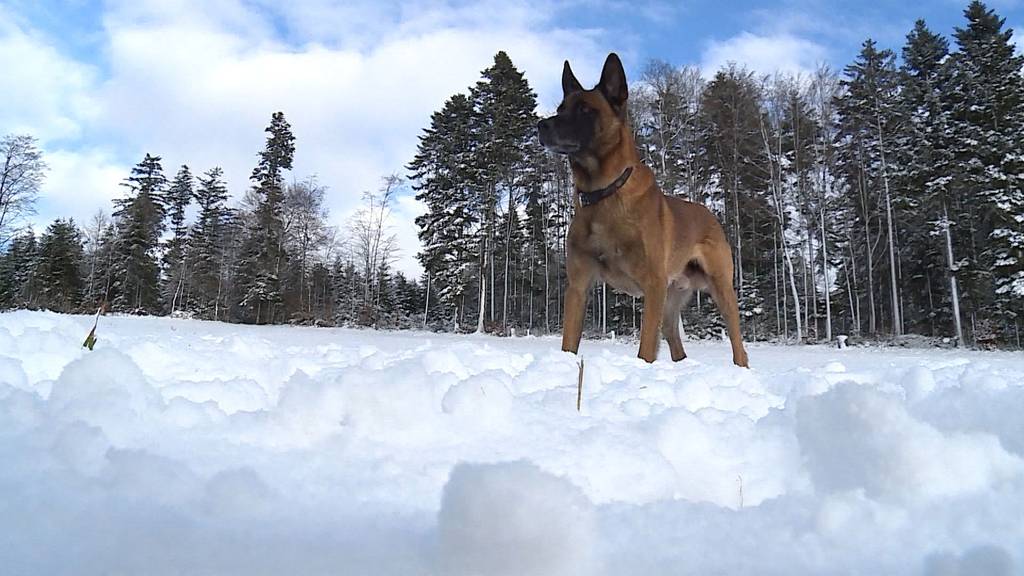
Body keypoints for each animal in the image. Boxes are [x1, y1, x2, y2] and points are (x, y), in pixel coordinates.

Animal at [540, 51, 749, 364]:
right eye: (560, 108)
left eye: (585, 110)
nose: (541, 126)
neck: (604, 194)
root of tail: (709, 214)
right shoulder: (578, 286)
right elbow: (569, 342)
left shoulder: (652, 284)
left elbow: (645, 350)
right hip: (669, 304)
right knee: (677, 345)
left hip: (720, 288)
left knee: (738, 345)